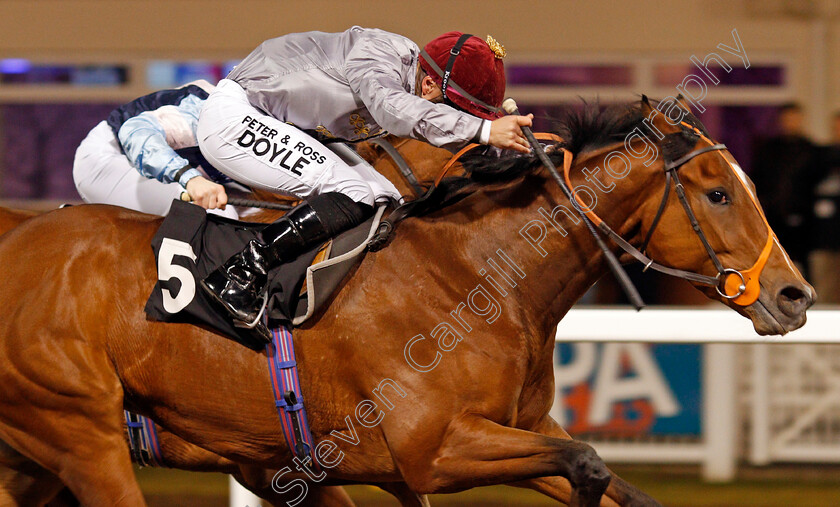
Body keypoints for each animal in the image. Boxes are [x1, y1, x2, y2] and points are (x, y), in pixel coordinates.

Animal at [0, 99, 812, 507]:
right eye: (717, 191)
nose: (794, 294)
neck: (480, 281)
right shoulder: (433, 449)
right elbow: (585, 462)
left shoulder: (509, 432)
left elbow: (613, 481)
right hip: (80, 430)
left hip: (35, 456)